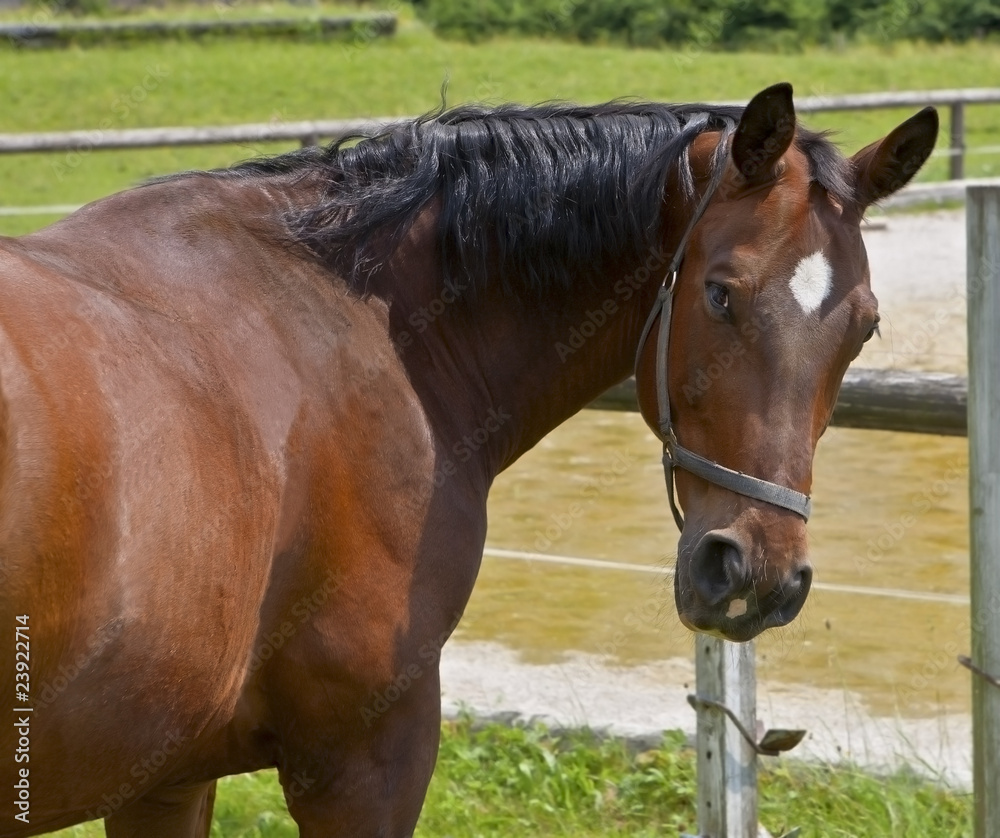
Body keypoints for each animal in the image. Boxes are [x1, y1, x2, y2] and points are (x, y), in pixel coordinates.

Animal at [0, 83, 936, 836]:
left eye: (866, 327)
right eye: (720, 293)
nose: (759, 574)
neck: (368, 324)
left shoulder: (165, 777)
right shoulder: (364, 758)